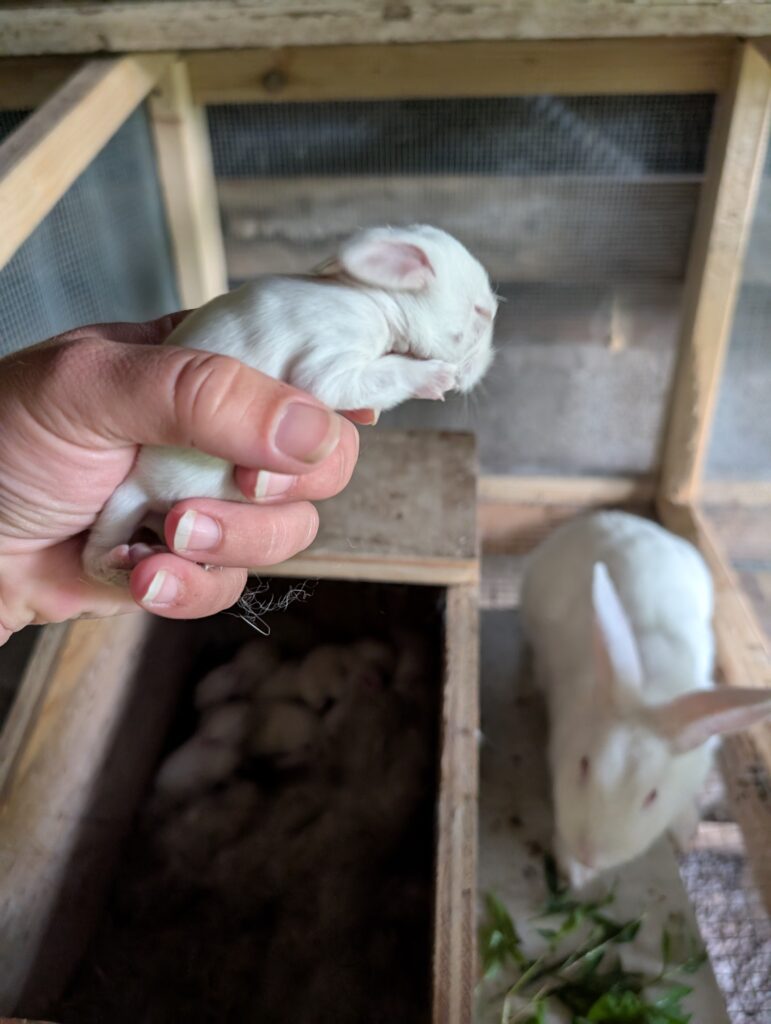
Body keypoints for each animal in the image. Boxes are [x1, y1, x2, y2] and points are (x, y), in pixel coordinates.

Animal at [82, 224, 497, 584]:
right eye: (482, 313)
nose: (486, 366)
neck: (373, 296)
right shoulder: (331, 356)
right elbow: (359, 378)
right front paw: (434, 376)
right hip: (126, 501)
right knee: (95, 556)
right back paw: (125, 558)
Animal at [519, 510, 771, 889]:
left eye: (652, 796)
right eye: (584, 765)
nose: (589, 853)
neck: (651, 697)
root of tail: (621, 518)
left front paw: (685, 829)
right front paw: (574, 870)